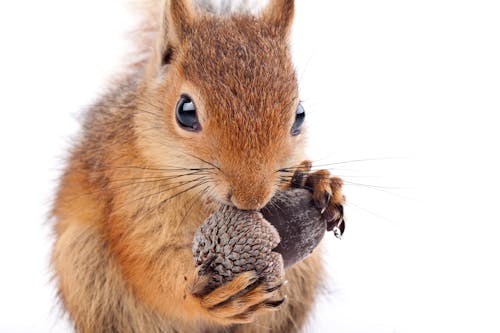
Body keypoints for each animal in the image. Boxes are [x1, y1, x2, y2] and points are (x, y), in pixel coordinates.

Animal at [51, 0, 348, 332]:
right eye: (185, 111)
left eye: (300, 114)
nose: (251, 198)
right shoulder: (125, 200)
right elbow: (149, 265)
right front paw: (204, 298)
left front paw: (319, 182)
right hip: (86, 264)